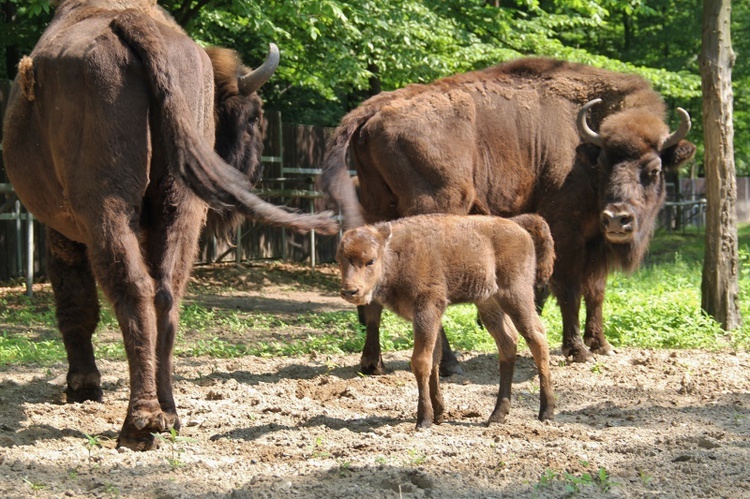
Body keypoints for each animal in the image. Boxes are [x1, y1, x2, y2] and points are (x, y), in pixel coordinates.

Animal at [2, 0, 338, 452]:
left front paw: (83, 385)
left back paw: (139, 424)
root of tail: (134, 22)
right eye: (254, 118)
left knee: (133, 289)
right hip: (180, 206)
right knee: (167, 294)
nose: (249, 171)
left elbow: (77, 301)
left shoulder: (62, 228)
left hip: (108, 206)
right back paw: (169, 413)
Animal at [324, 56, 700, 376]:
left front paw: (602, 345)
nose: (618, 218)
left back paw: (373, 362)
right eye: (603, 163)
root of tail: (376, 108)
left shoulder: (596, 240)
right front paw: (578, 350)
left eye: (653, 170)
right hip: (438, 206)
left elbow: (597, 291)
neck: (584, 149)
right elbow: (570, 288)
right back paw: (448, 363)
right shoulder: (567, 232)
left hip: (377, 207)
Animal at [338, 213, 556, 428]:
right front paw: (439, 414)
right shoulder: (428, 317)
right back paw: (497, 415)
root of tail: (516, 225)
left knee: (536, 338)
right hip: (488, 303)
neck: (394, 252)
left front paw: (424, 419)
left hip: (516, 295)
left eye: (371, 260)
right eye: (341, 260)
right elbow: (434, 359)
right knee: (508, 342)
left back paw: (546, 411)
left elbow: (421, 362)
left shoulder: (426, 311)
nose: (350, 291)